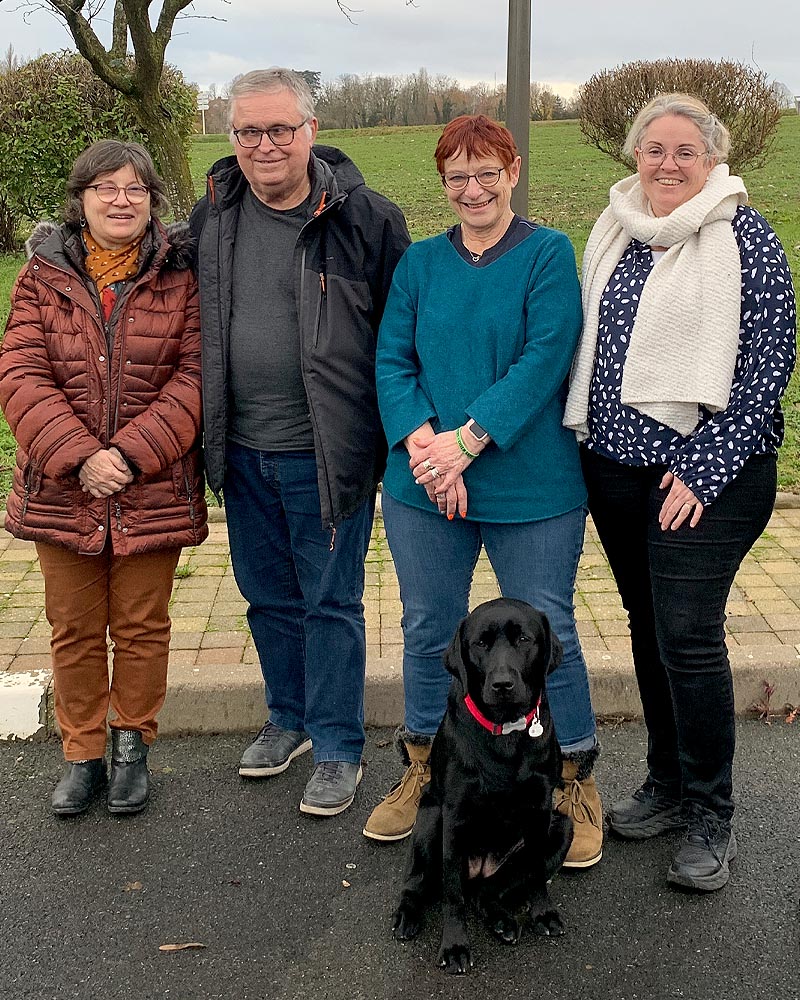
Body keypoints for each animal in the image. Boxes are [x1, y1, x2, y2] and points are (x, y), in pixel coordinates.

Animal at [392, 596, 568, 972]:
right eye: (481, 643)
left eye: (523, 639)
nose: (502, 684)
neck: (505, 733)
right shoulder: (454, 816)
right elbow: (452, 896)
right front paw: (455, 945)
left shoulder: (542, 809)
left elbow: (535, 872)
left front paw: (543, 912)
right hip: (430, 819)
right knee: (420, 884)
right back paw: (408, 914)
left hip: (562, 827)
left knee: (486, 894)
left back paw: (501, 920)